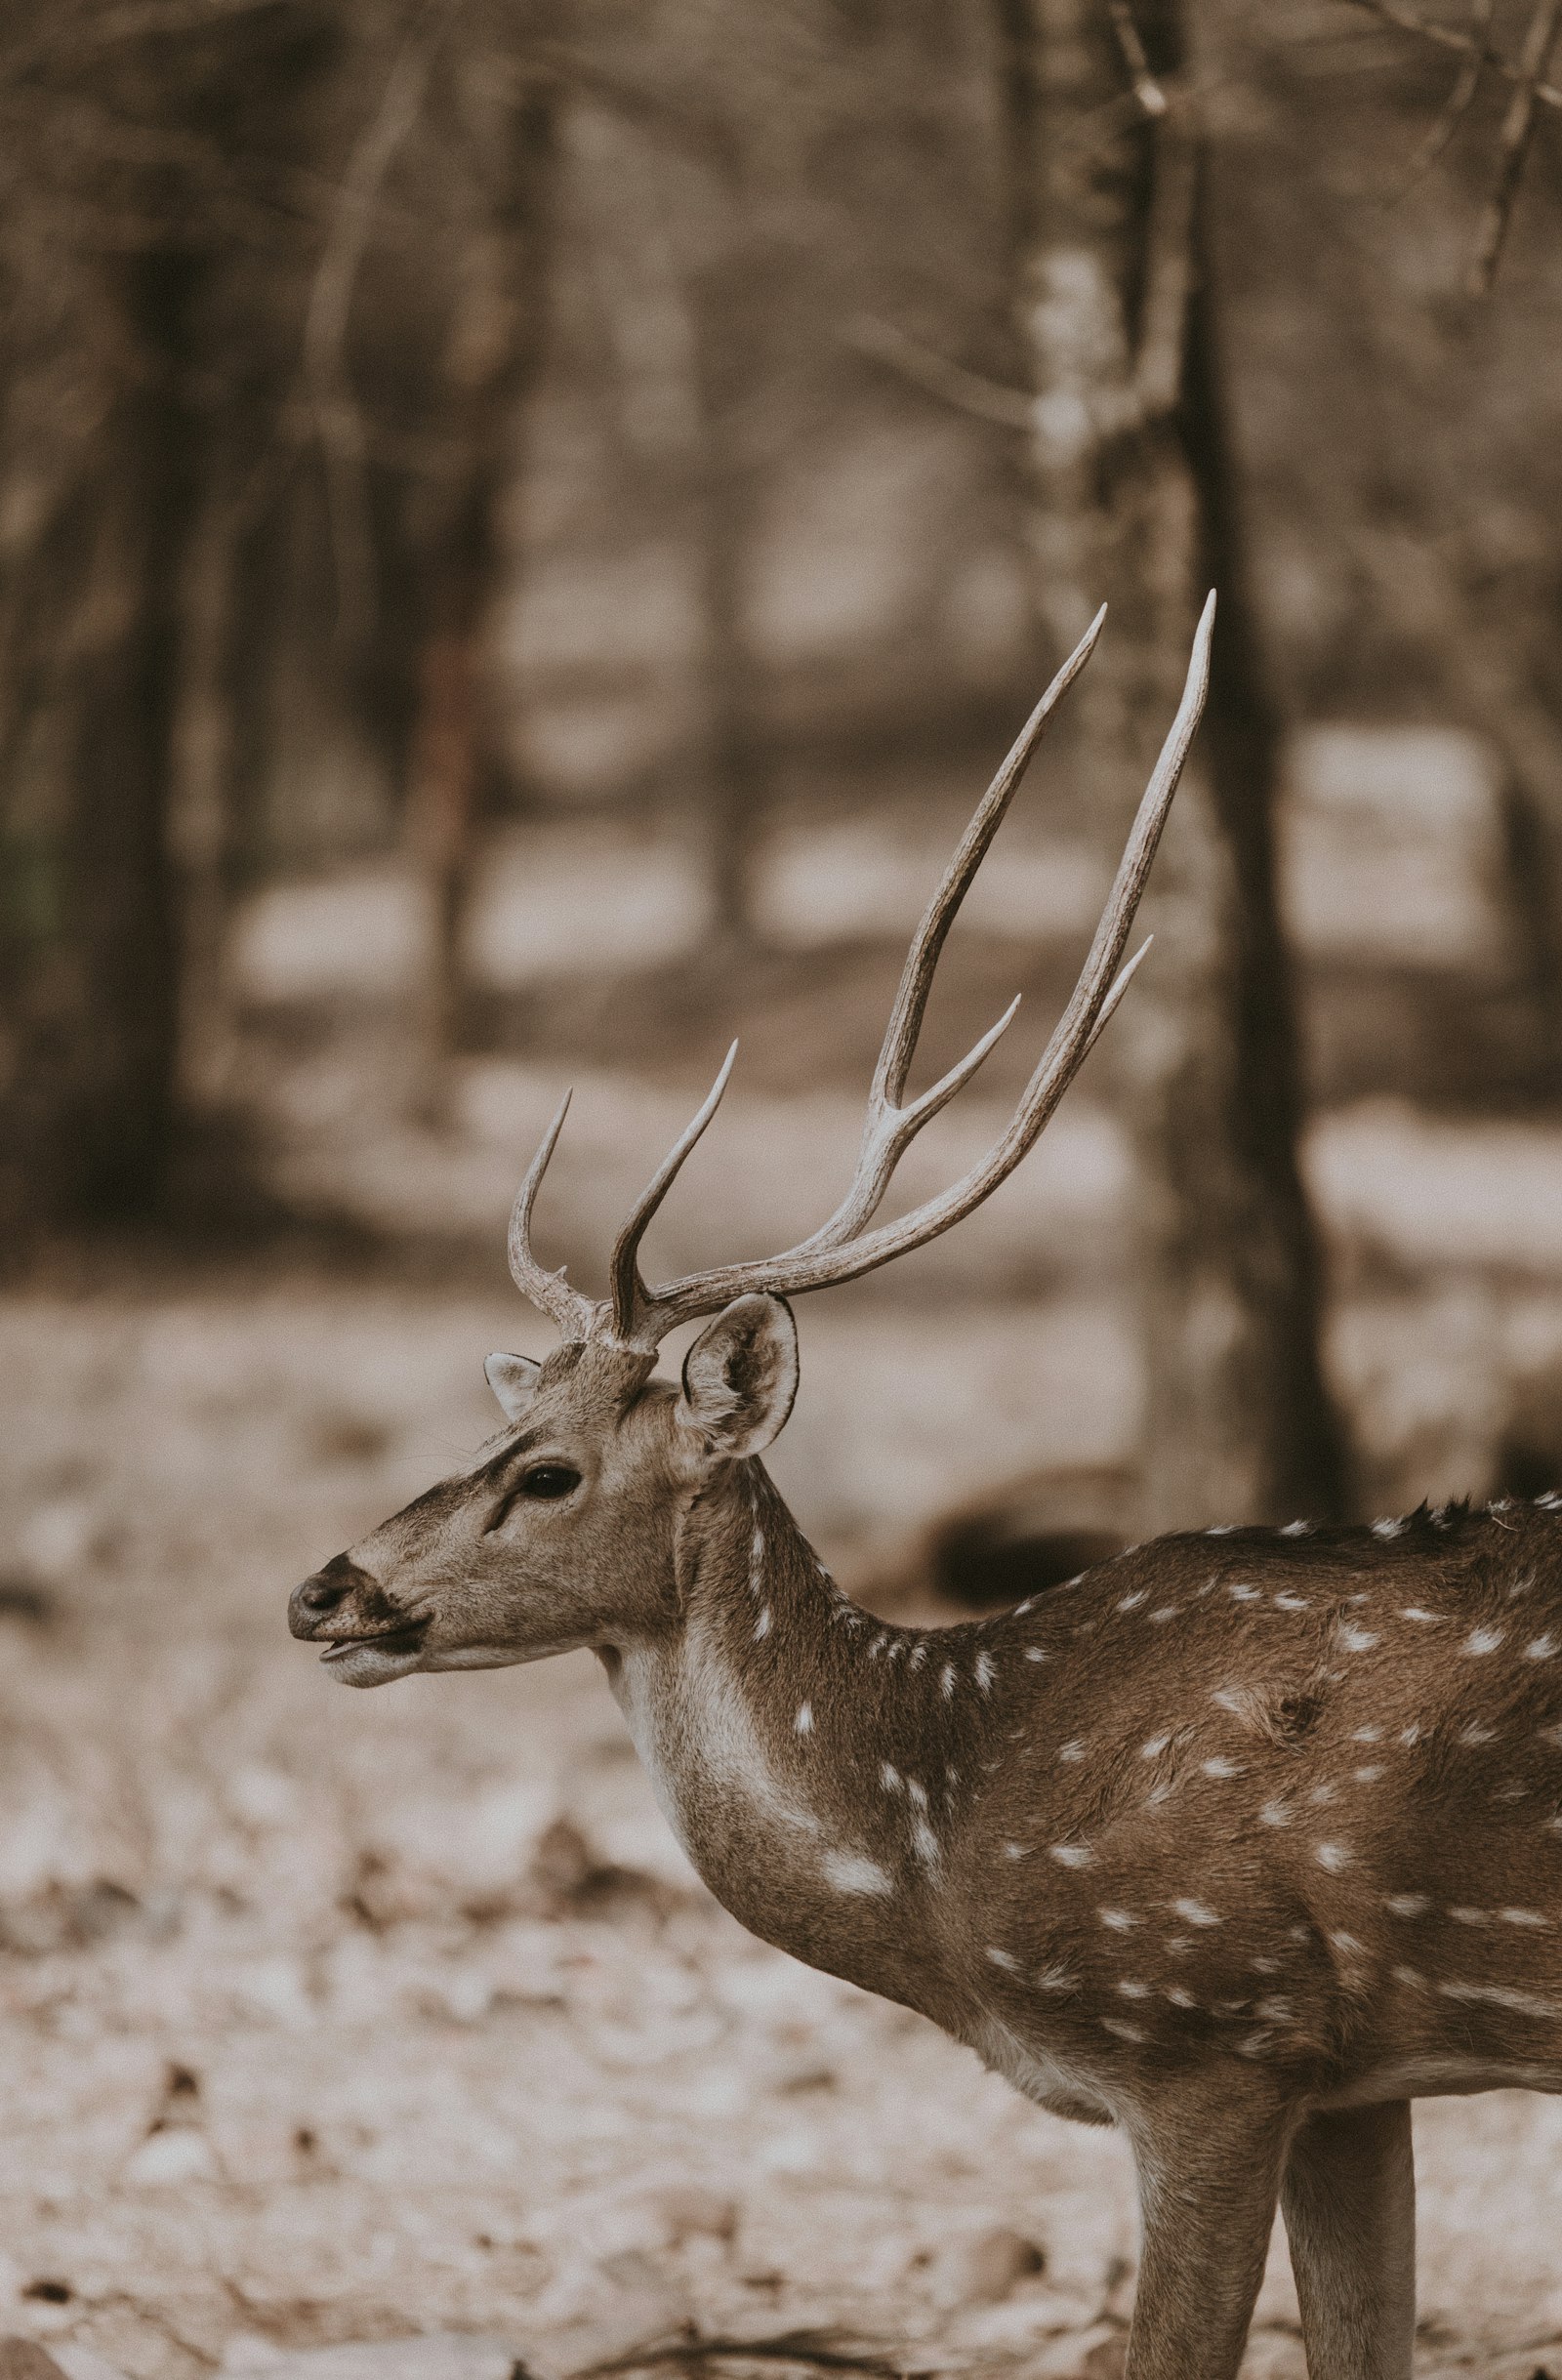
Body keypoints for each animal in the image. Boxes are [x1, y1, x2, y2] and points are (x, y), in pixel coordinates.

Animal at [286, 590, 1552, 2380]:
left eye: (547, 1469)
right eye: (504, 1424)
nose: (323, 1588)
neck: (952, 1844)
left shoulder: (1214, 2033)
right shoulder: (1360, 2080)